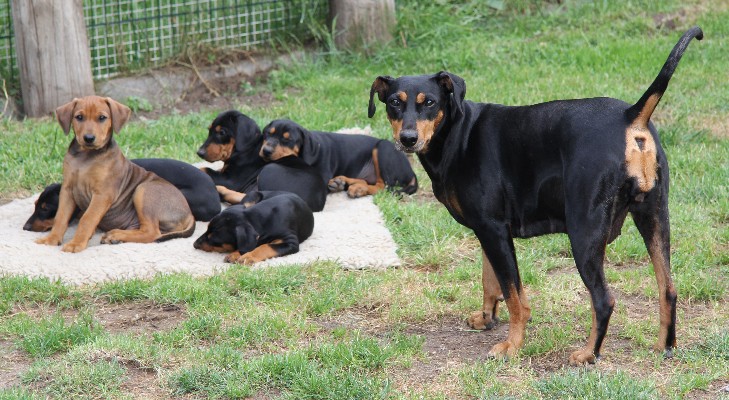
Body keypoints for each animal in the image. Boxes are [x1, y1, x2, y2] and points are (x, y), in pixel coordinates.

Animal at [35, 96, 195, 253]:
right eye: (79, 117)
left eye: (102, 118)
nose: (89, 138)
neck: (86, 157)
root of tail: (189, 214)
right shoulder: (67, 190)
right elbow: (61, 217)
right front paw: (51, 239)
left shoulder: (102, 195)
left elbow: (87, 219)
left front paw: (76, 243)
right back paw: (115, 235)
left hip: (143, 190)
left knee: (151, 232)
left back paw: (115, 235)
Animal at [196, 108, 328, 209]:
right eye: (209, 130)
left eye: (222, 132)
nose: (199, 153)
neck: (246, 149)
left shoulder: (232, 180)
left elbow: (204, 169)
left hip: (269, 170)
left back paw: (220, 190)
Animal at [258, 119, 418, 199]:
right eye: (268, 133)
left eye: (287, 140)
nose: (266, 151)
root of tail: (411, 172)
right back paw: (342, 182)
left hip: (383, 148)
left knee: (384, 186)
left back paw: (358, 189)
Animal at [366, 27, 704, 366]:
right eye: (394, 102)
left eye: (430, 102)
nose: (407, 138)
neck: (457, 134)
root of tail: (630, 116)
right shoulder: (488, 231)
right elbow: (490, 279)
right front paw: (486, 318)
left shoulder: (494, 229)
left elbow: (515, 296)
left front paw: (512, 345)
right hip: (655, 217)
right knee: (668, 289)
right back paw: (664, 346)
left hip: (584, 233)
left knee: (604, 299)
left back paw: (588, 353)